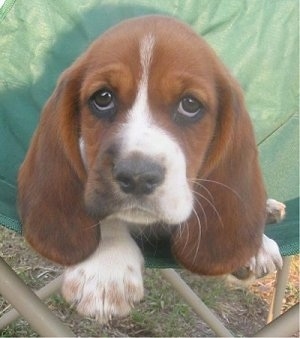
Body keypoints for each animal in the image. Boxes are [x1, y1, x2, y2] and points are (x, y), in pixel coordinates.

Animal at [17, 15, 284, 322]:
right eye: (103, 98)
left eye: (190, 104)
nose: (137, 177)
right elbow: (104, 213)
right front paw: (107, 267)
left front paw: (256, 245)